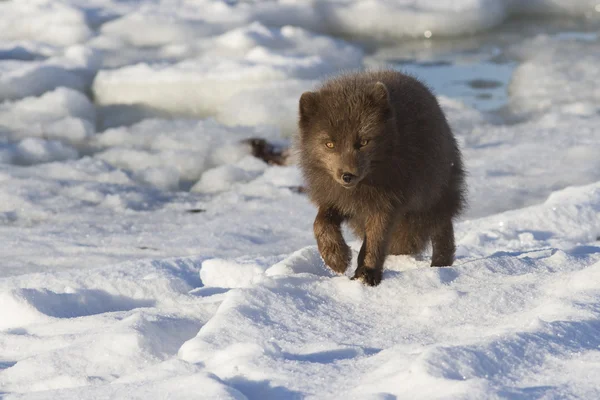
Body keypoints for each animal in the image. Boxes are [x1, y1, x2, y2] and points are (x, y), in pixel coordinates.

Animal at [298, 70, 466, 286]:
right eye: (329, 144)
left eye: (363, 142)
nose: (347, 176)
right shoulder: (336, 198)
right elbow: (320, 223)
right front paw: (336, 258)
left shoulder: (386, 204)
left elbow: (375, 241)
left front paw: (367, 274)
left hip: (435, 194)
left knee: (443, 226)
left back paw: (440, 267)